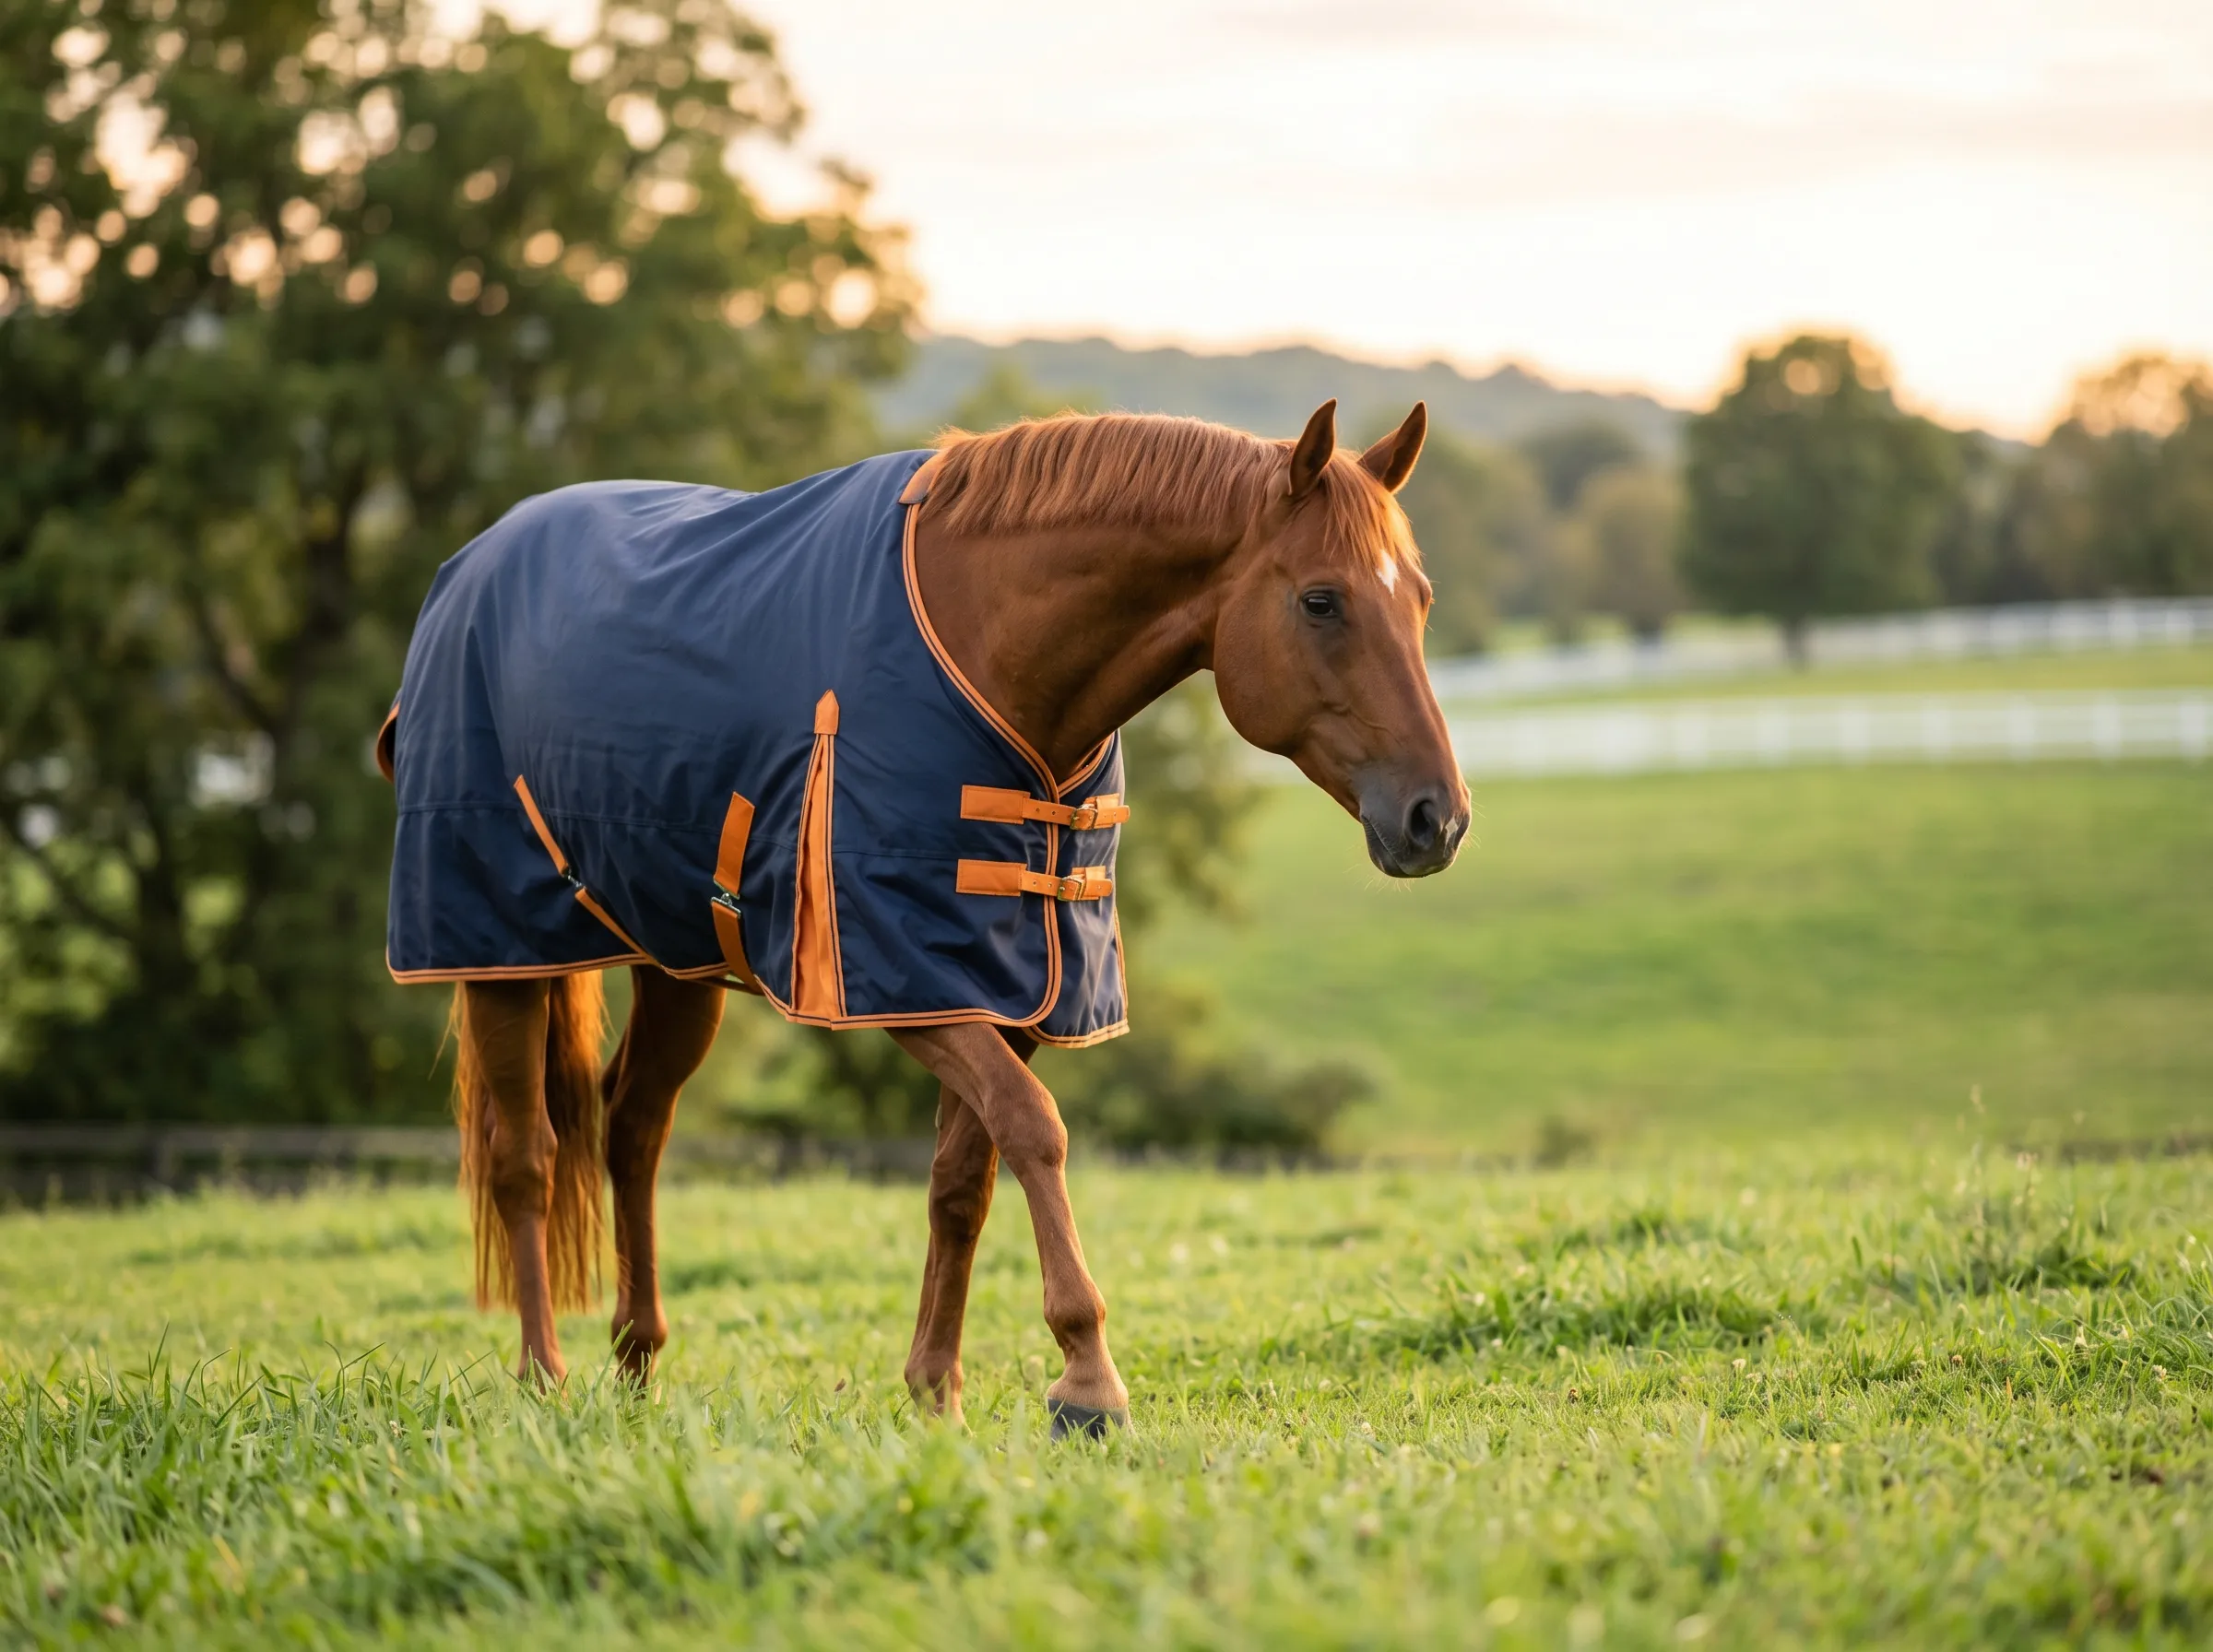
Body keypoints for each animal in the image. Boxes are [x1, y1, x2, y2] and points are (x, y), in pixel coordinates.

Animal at [378, 398, 1466, 1435]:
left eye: (1419, 598)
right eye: (1321, 600)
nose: (1437, 818)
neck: (988, 653)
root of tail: (471, 567)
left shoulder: (1012, 986)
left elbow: (962, 1180)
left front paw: (935, 1390)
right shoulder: (904, 981)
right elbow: (1035, 1130)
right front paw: (1088, 1381)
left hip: (677, 961)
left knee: (633, 1127)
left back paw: (639, 1364)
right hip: (496, 954)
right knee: (525, 1158)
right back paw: (543, 1377)